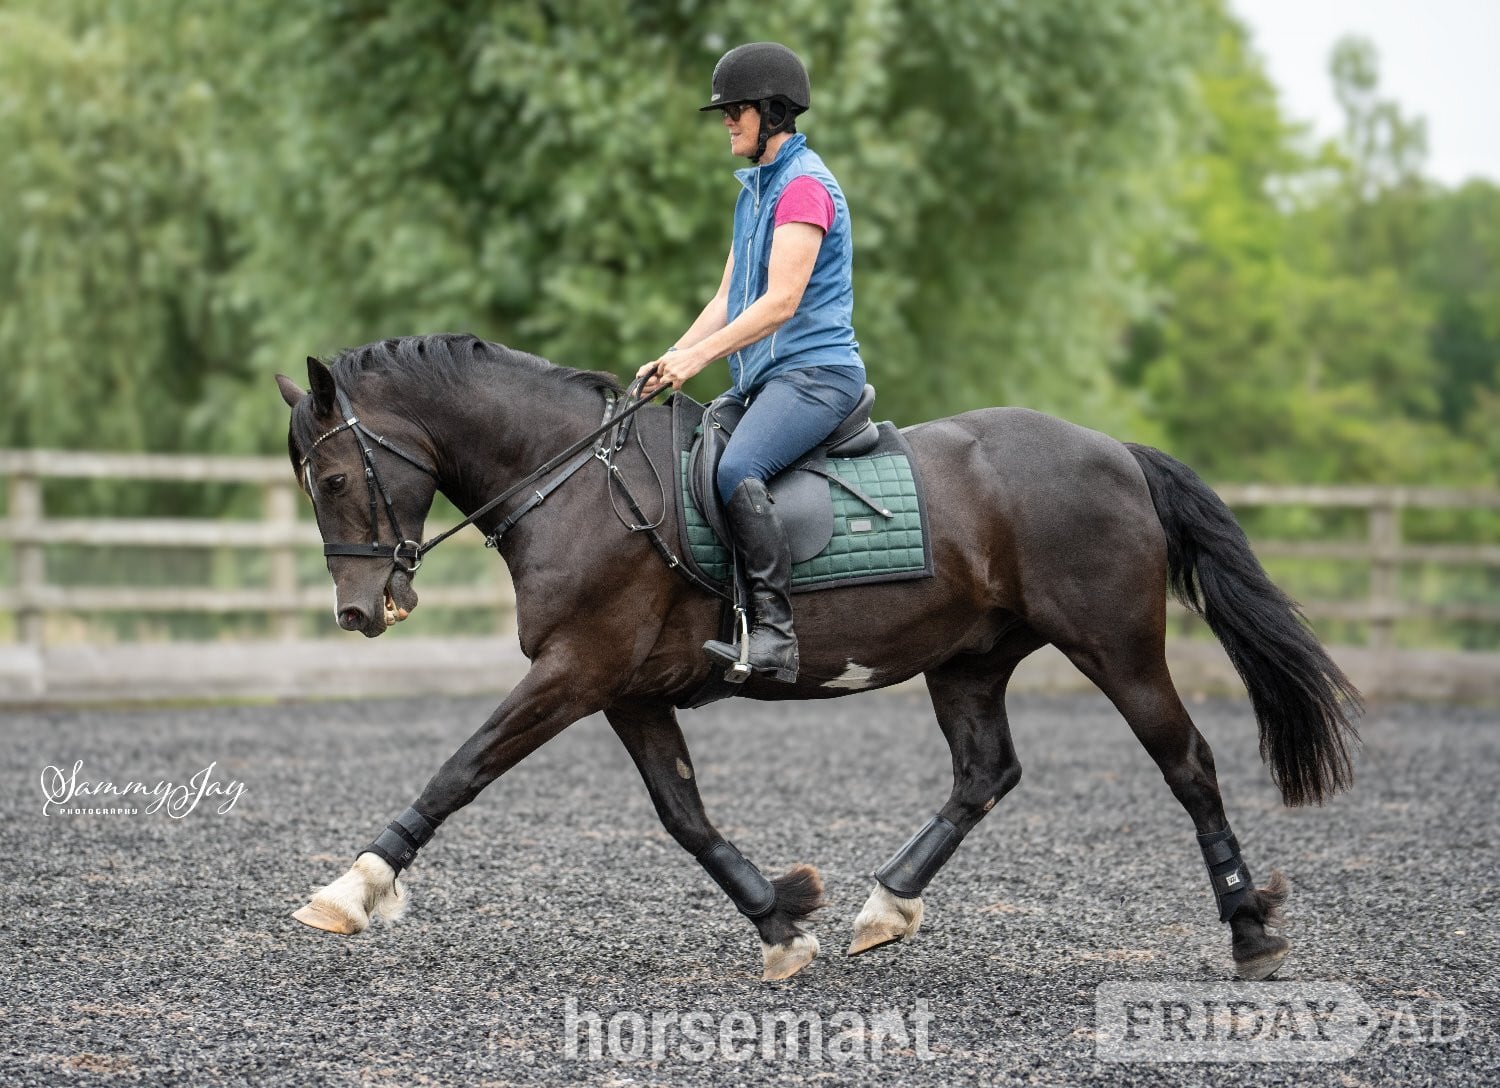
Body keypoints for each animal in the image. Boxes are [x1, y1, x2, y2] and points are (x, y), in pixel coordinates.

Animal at [277, 332, 1360, 982]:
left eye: (332, 478)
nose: (358, 612)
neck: (576, 483)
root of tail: (1116, 452)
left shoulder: (576, 669)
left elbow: (459, 769)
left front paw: (351, 889)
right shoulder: (623, 688)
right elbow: (684, 814)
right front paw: (782, 917)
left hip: (1117, 645)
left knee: (1188, 764)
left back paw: (1250, 929)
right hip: (968, 659)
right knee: (985, 773)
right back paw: (885, 906)